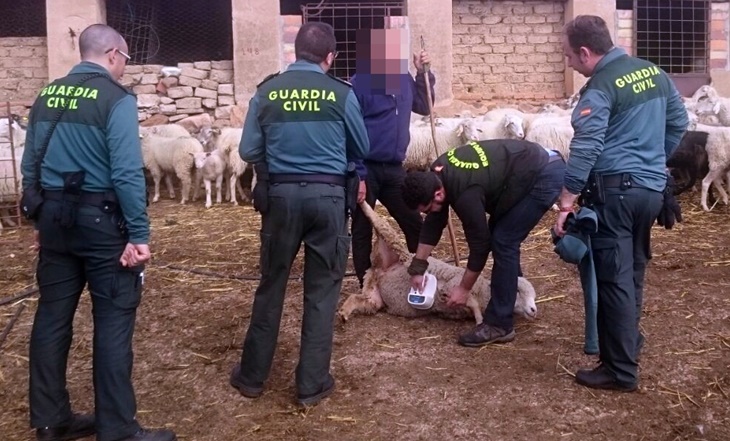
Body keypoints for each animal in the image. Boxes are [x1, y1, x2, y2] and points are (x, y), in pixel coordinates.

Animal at [338, 201, 538, 324]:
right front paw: (480, 320)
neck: (484, 292)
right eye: (517, 291)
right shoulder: (451, 287)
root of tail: (384, 269)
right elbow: (470, 302)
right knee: (377, 220)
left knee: (358, 299)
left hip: (373, 297)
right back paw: (361, 197)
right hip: (391, 237)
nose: (534, 309)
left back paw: (344, 313)